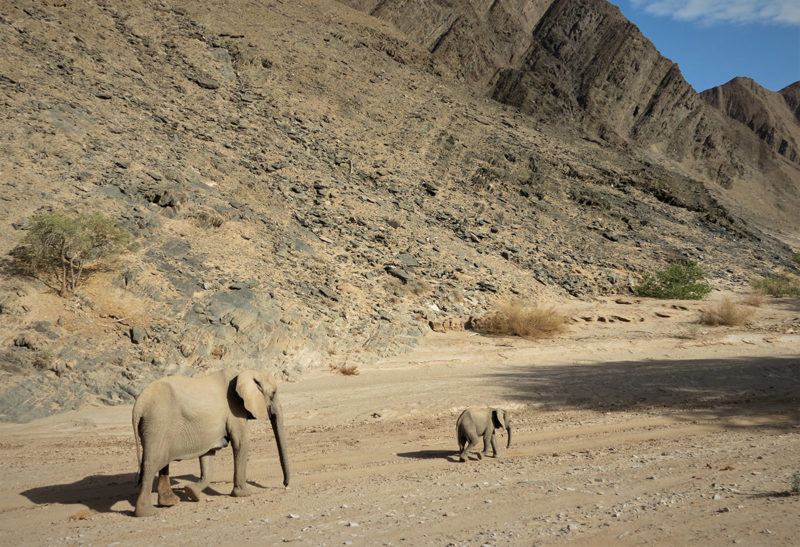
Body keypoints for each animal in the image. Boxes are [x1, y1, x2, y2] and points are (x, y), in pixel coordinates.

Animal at [132, 368, 290, 520]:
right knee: (152, 463)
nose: (285, 485)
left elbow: (207, 455)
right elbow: (242, 442)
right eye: (273, 393)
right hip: (157, 423)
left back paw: (170, 503)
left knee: (163, 463)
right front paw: (244, 494)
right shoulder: (235, 409)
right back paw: (147, 513)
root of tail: (139, 404)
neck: (246, 372)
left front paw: (191, 493)